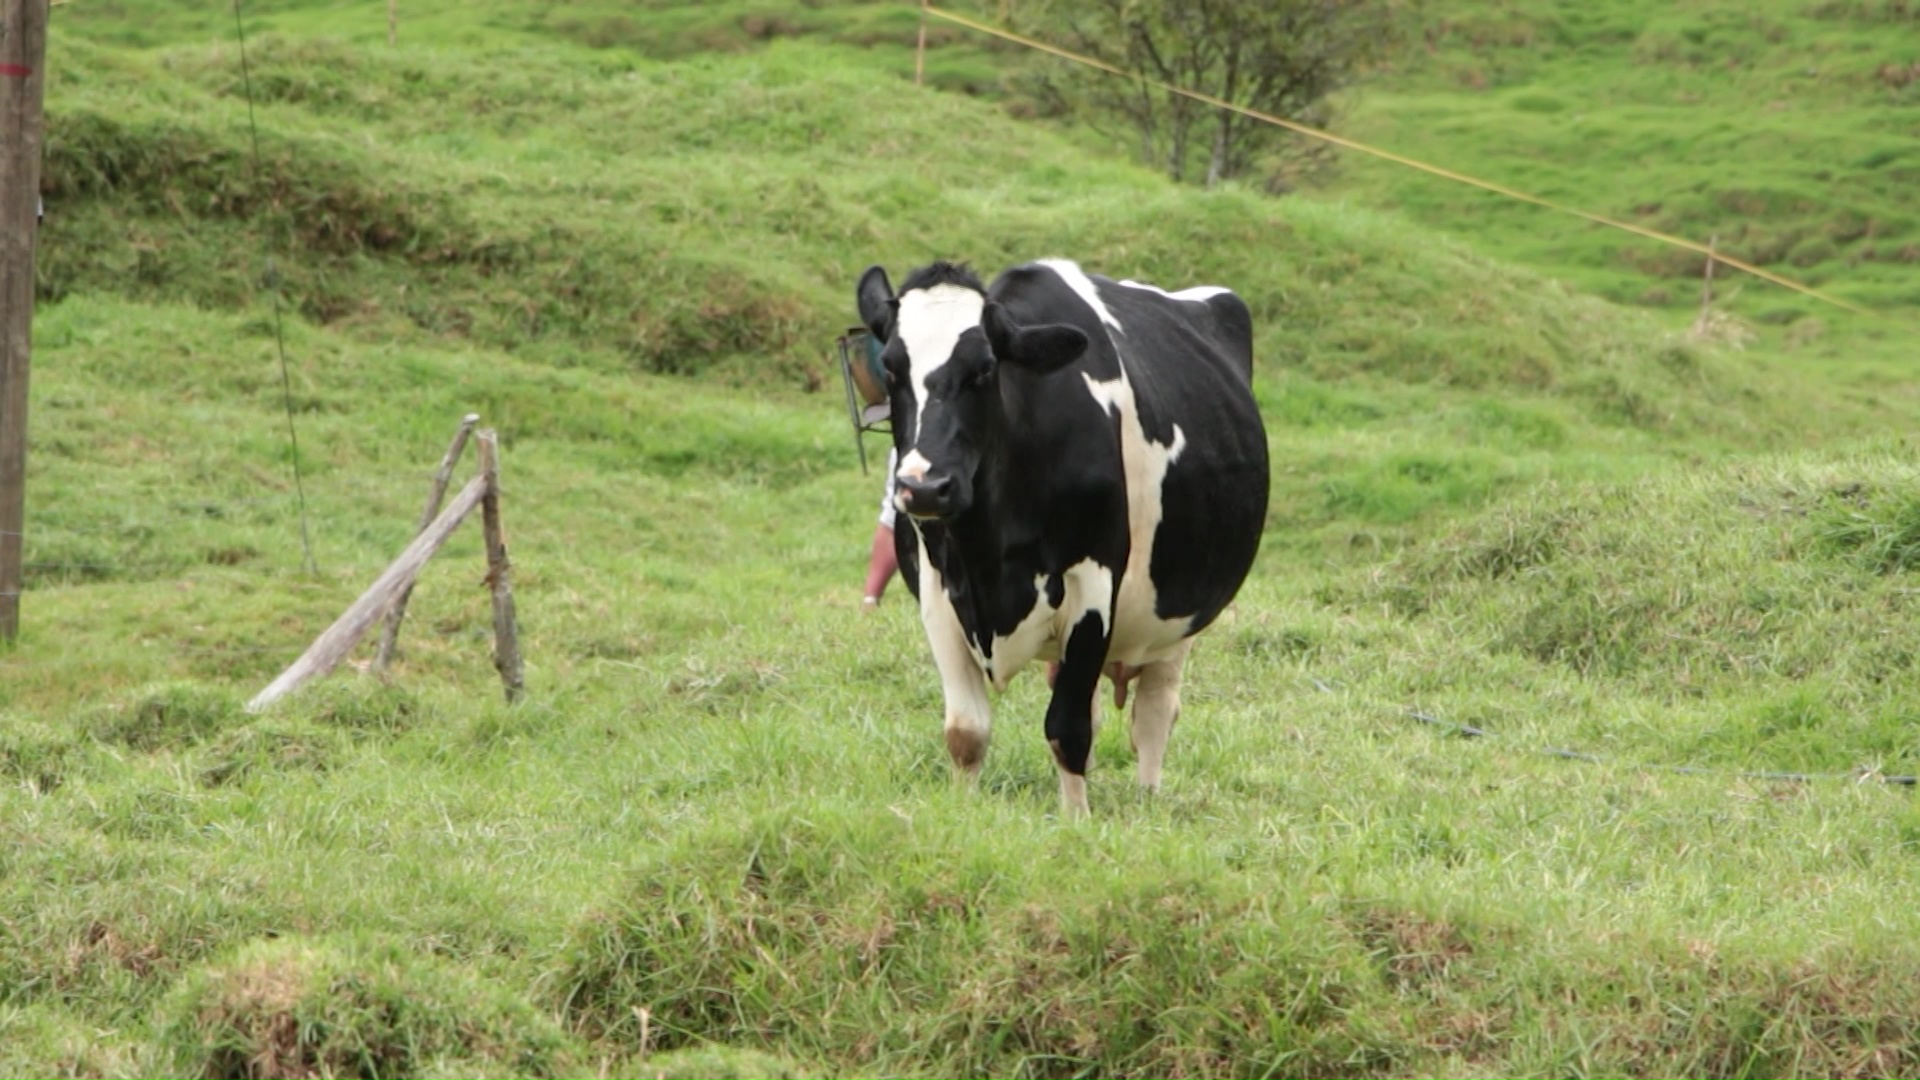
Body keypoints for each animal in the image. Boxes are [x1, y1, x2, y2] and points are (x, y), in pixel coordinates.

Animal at [860, 259, 1274, 814]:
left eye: (984, 369)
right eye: (890, 368)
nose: (925, 486)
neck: (987, 553)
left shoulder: (1093, 583)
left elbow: (1067, 728)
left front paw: (1076, 819)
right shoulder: (937, 589)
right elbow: (966, 732)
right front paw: (964, 811)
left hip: (1180, 610)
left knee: (1155, 712)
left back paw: (1147, 799)